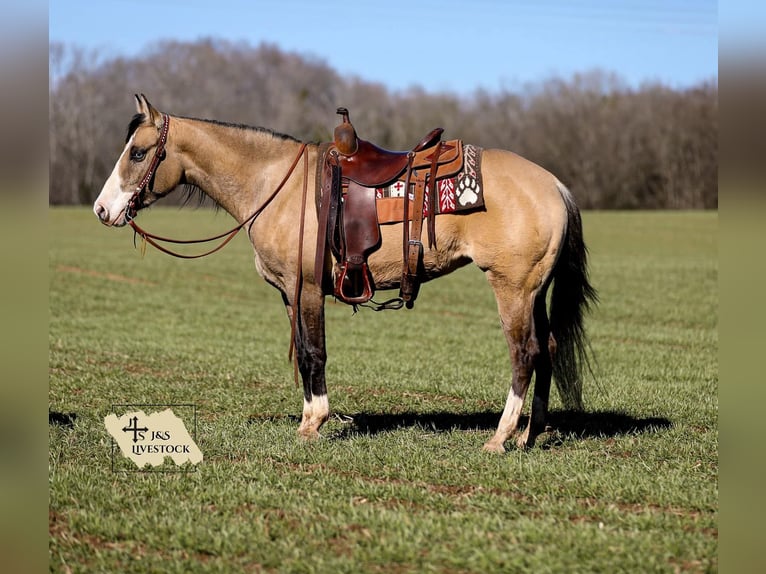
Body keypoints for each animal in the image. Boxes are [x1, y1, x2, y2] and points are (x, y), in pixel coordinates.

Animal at [93, 94, 597, 452]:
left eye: (138, 153)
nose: (102, 209)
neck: (278, 185)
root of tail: (555, 185)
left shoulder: (308, 290)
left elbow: (314, 353)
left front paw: (314, 423)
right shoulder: (290, 294)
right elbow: (303, 352)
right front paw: (309, 419)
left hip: (512, 289)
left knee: (524, 354)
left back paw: (500, 437)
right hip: (534, 292)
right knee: (548, 350)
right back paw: (529, 435)